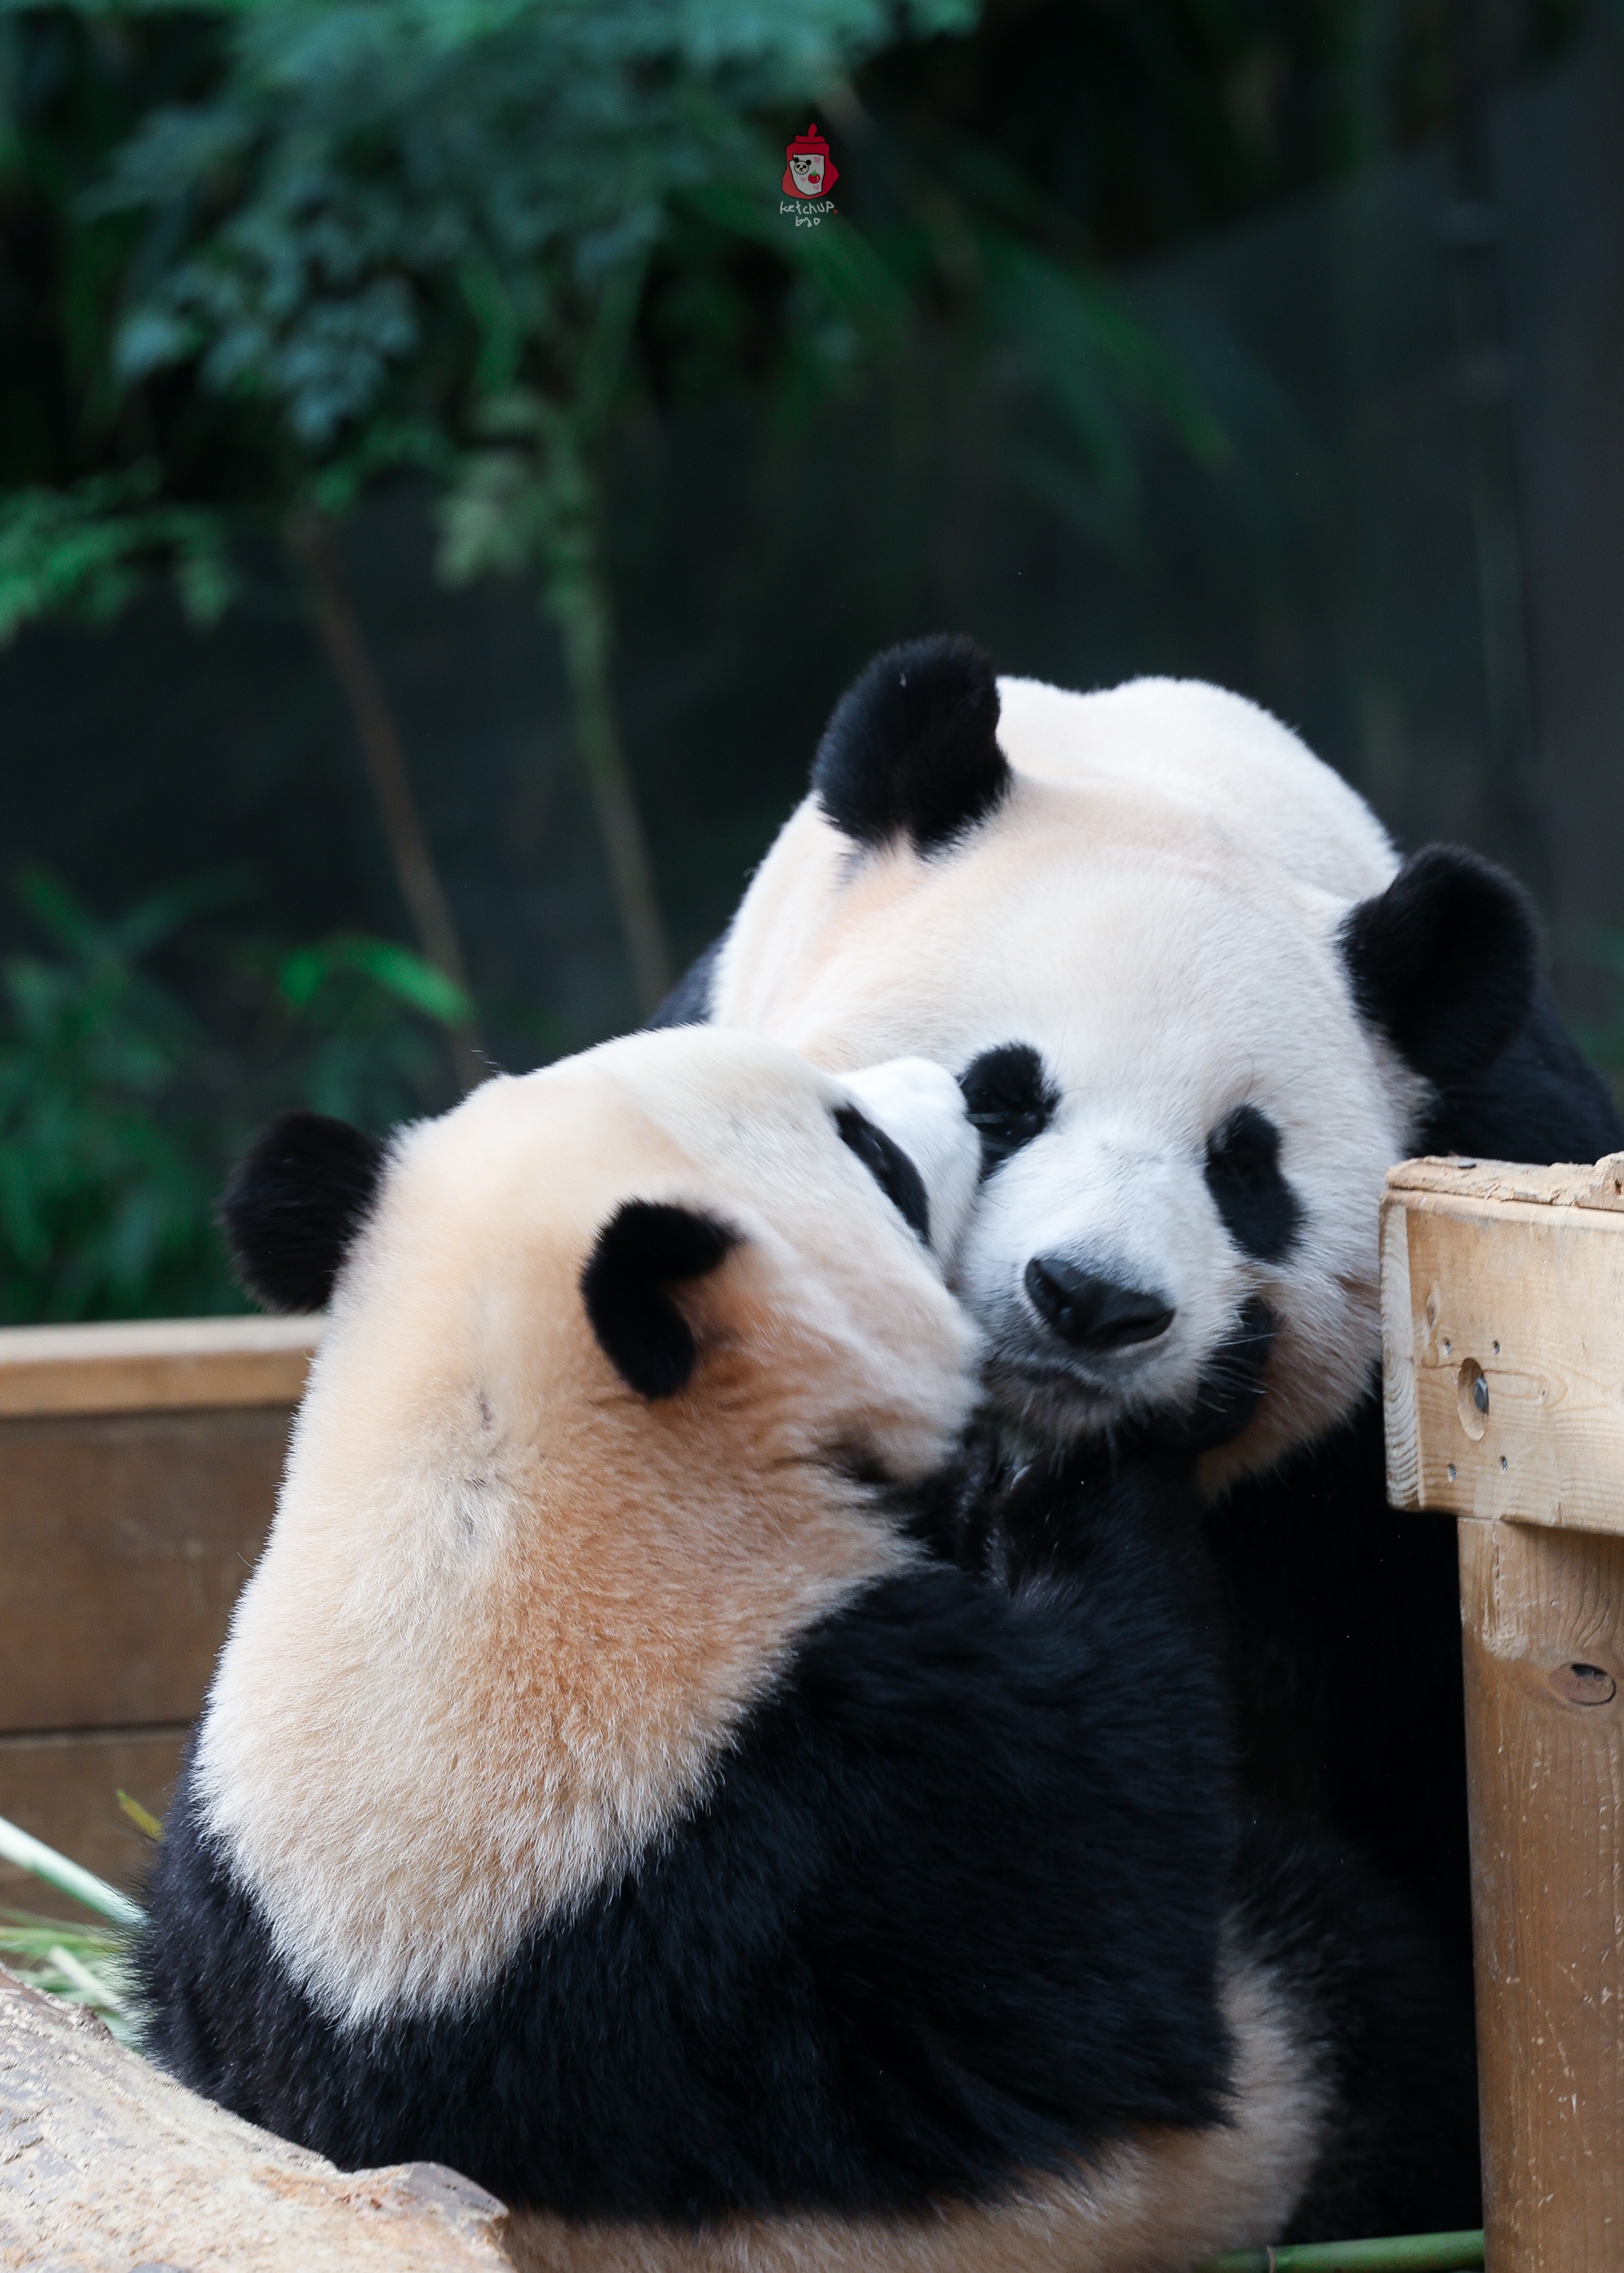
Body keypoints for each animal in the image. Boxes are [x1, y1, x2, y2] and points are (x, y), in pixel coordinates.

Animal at [139, 1036, 1473, 2273]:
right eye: (868, 1152)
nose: (963, 1087)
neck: (482, 1501)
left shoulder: (222, 1892)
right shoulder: (829, 1814)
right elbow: (1112, 1942)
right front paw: (1143, 1424)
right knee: (1357, 1982)